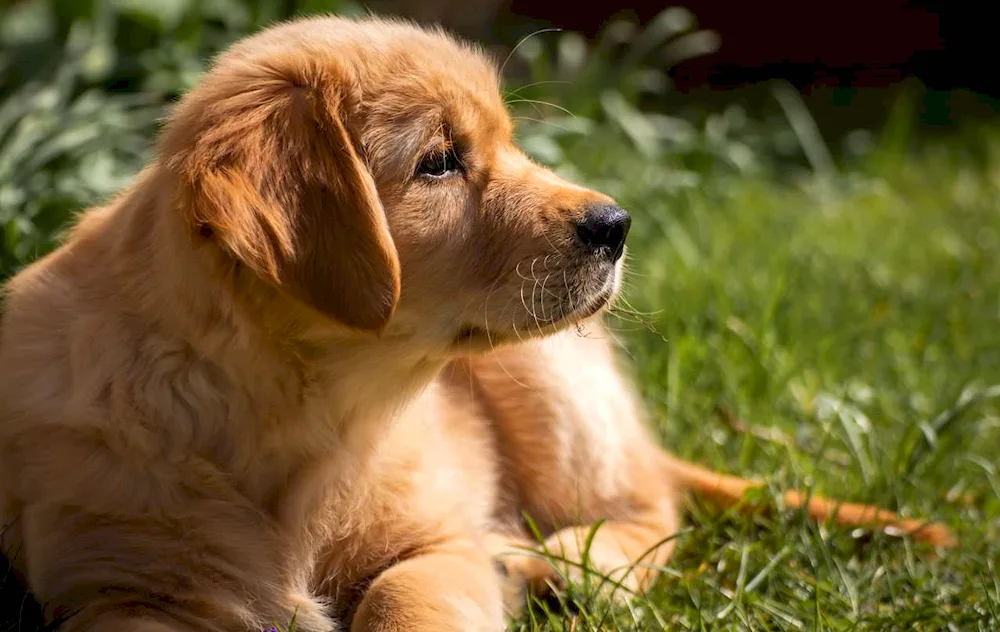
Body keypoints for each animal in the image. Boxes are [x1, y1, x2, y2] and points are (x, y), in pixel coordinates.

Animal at [0, 14, 952, 632]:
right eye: (439, 163)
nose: (617, 224)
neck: (303, 411)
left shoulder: (443, 536)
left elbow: (404, 598)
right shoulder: (120, 586)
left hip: (550, 381)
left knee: (653, 503)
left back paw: (573, 565)